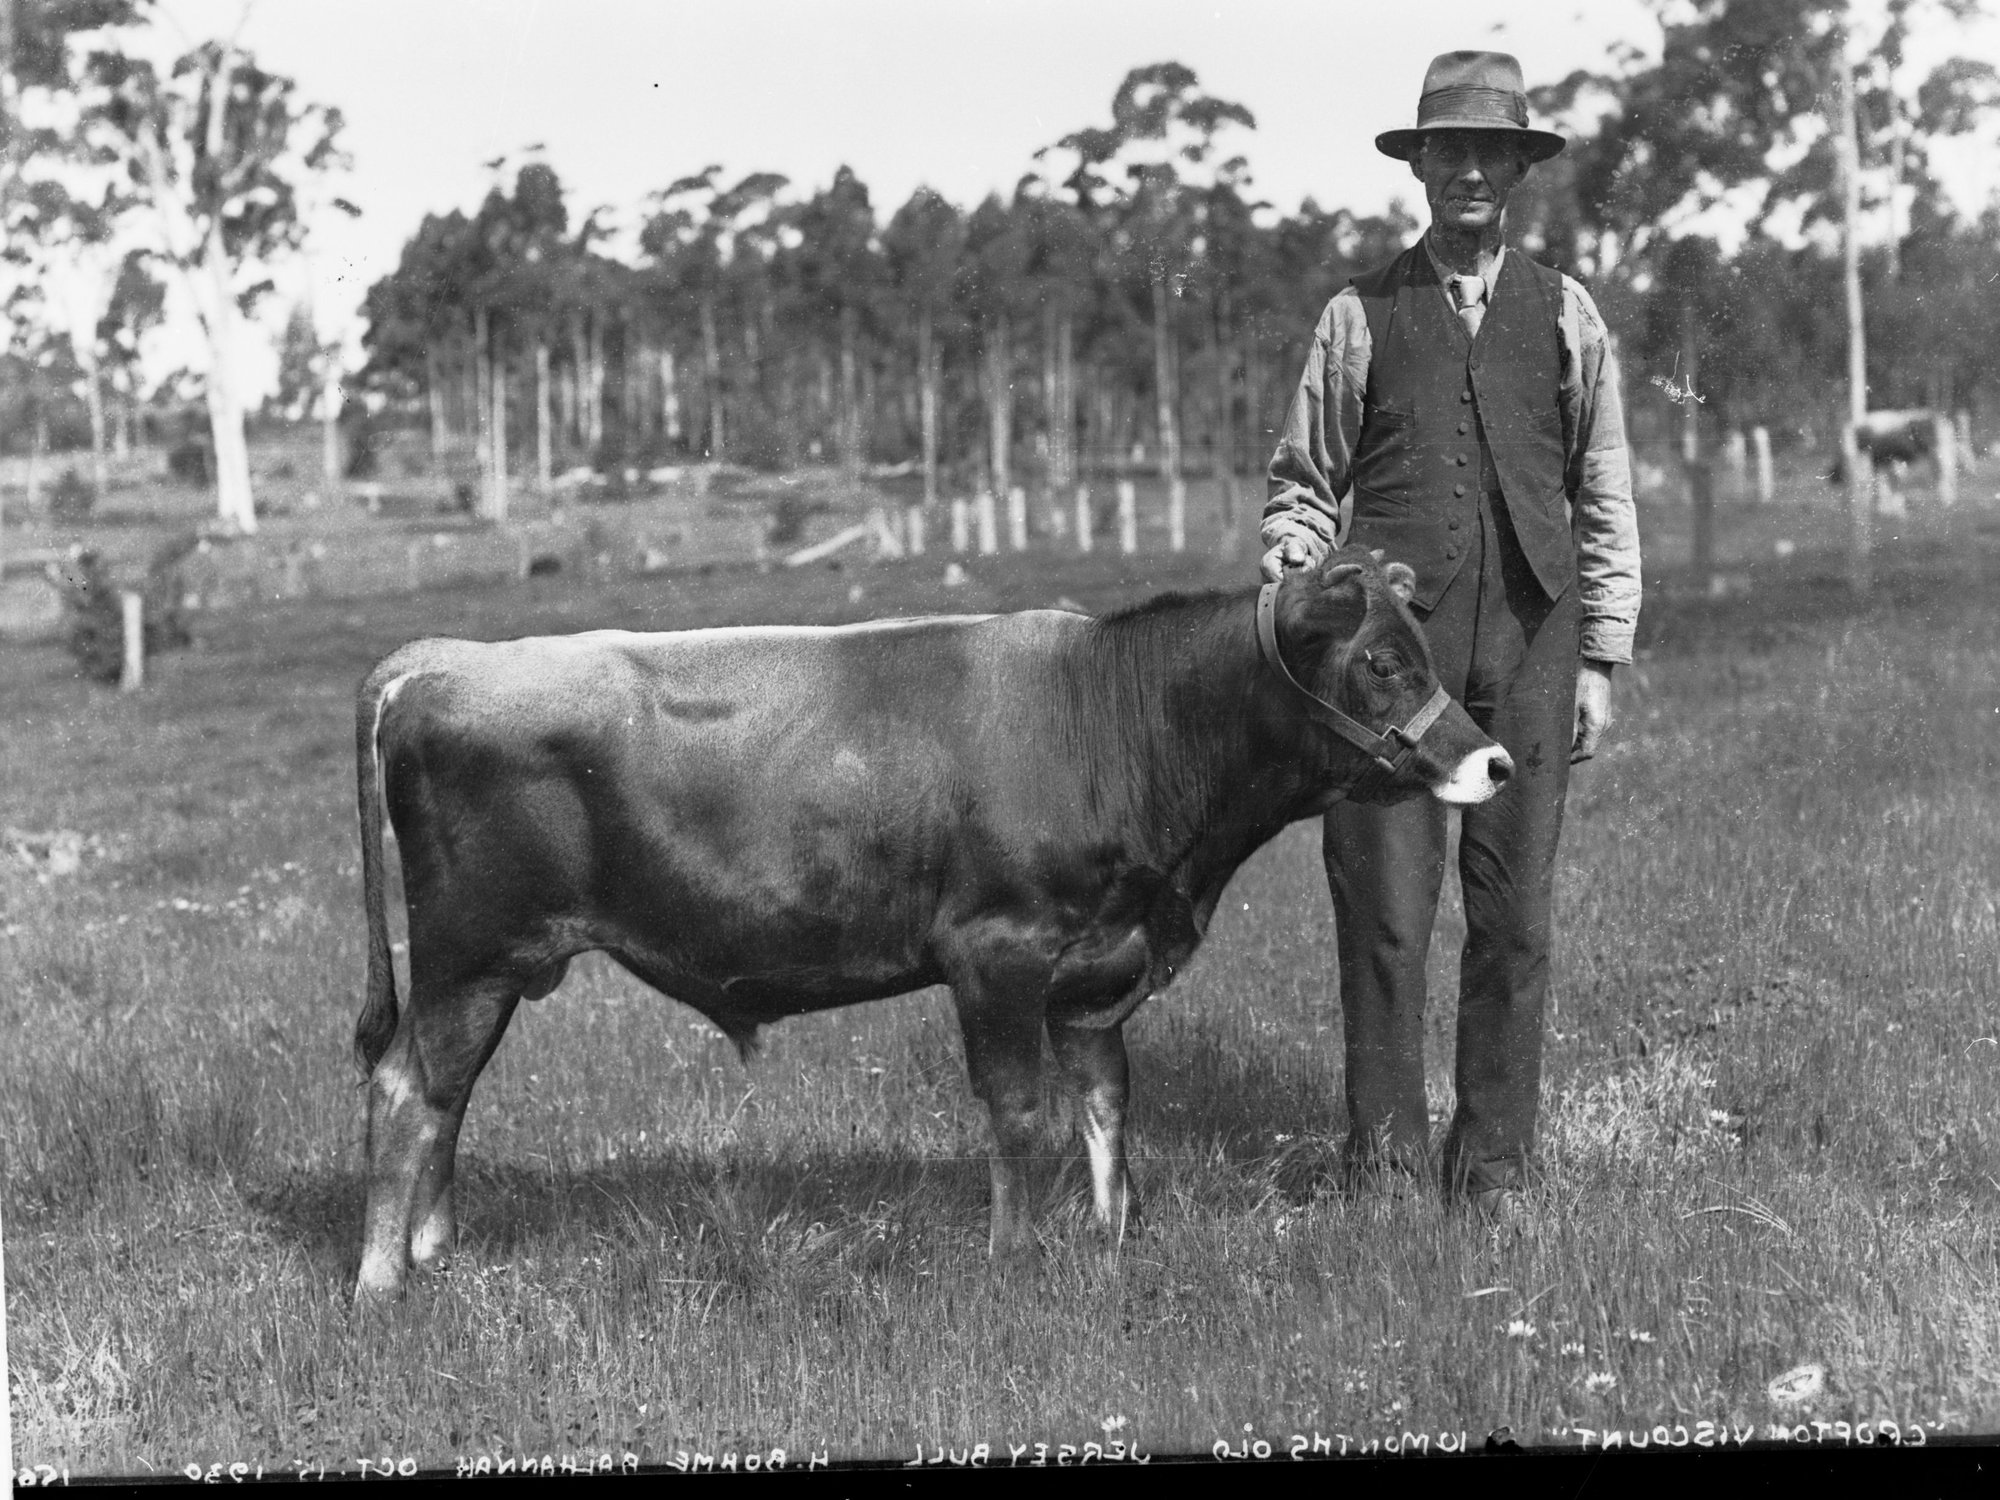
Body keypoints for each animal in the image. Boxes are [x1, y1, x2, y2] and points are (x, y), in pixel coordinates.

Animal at [350, 552, 1511, 1299]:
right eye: (1381, 662)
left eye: (1420, 648)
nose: (1494, 761)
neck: (1111, 720)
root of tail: (440, 657)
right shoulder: (996, 955)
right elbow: (1020, 1115)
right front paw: (1013, 1265)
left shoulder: (1095, 972)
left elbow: (1105, 1107)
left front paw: (1109, 1247)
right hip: (467, 955)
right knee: (410, 1088)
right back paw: (379, 1283)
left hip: (490, 967)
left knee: (447, 1095)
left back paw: (433, 1256)